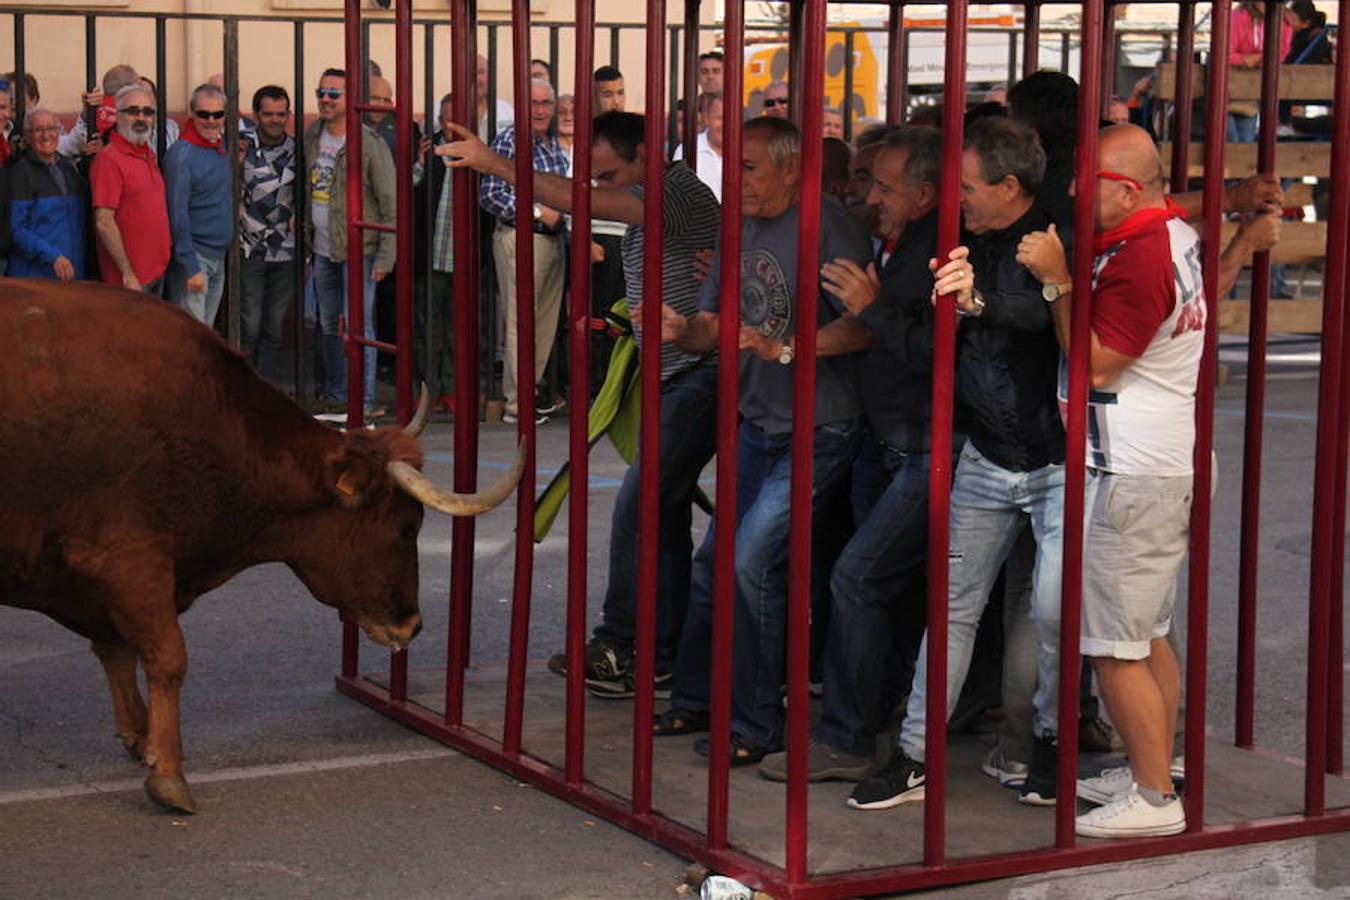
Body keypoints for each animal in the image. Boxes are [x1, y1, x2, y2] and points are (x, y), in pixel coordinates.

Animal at [0, 282, 521, 814]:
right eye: (406, 527)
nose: (410, 625)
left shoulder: (102, 582)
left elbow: (117, 650)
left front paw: (142, 738)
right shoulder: (128, 560)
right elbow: (167, 656)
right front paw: (168, 773)